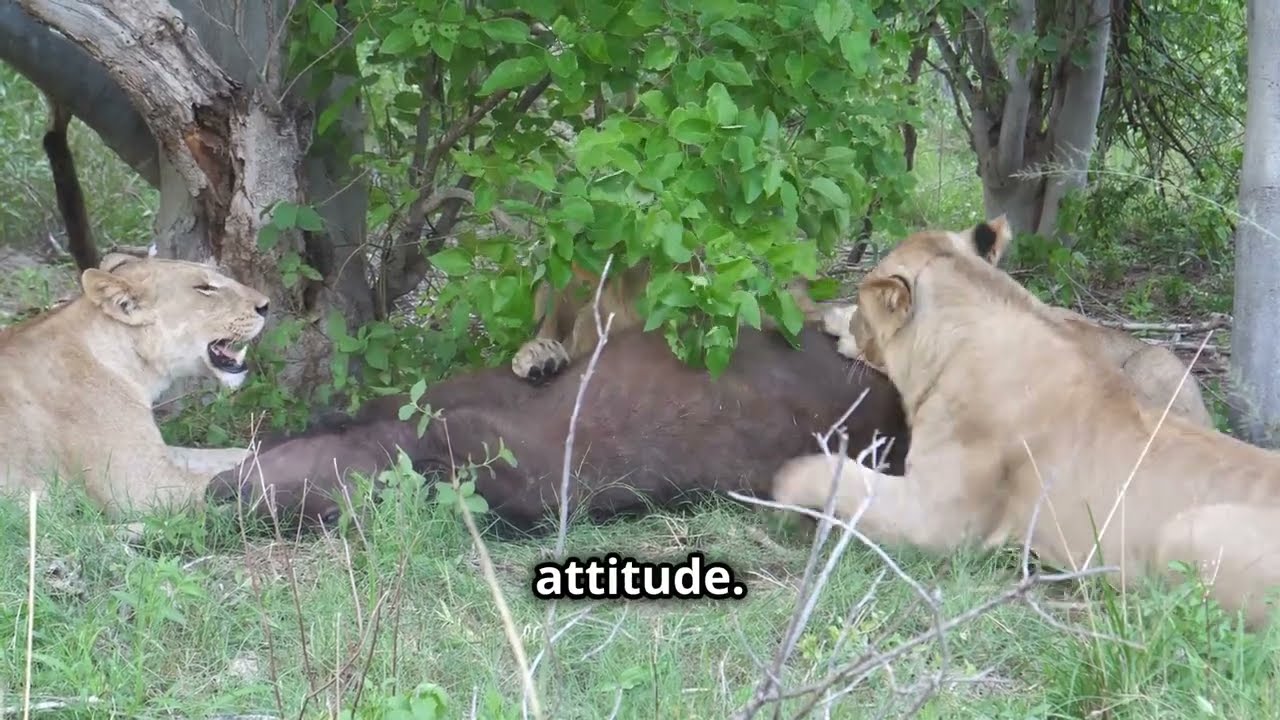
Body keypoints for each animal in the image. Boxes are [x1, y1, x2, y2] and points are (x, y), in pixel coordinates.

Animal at [0, 252, 270, 519]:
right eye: (204, 288)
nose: (266, 305)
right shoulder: (140, 486)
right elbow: (219, 484)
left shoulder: (155, 452)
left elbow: (227, 455)